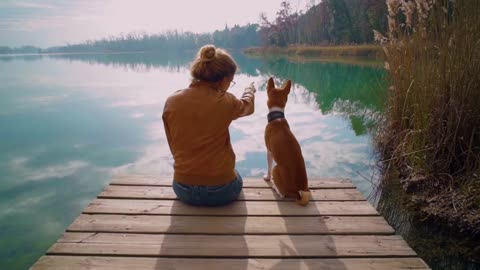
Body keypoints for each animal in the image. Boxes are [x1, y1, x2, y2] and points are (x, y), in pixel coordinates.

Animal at [262, 77, 312, 206]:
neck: (277, 117)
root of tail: (297, 191)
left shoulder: (269, 151)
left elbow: (268, 167)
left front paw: (267, 177)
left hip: (276, 169)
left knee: (282, 194)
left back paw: (275, 187)